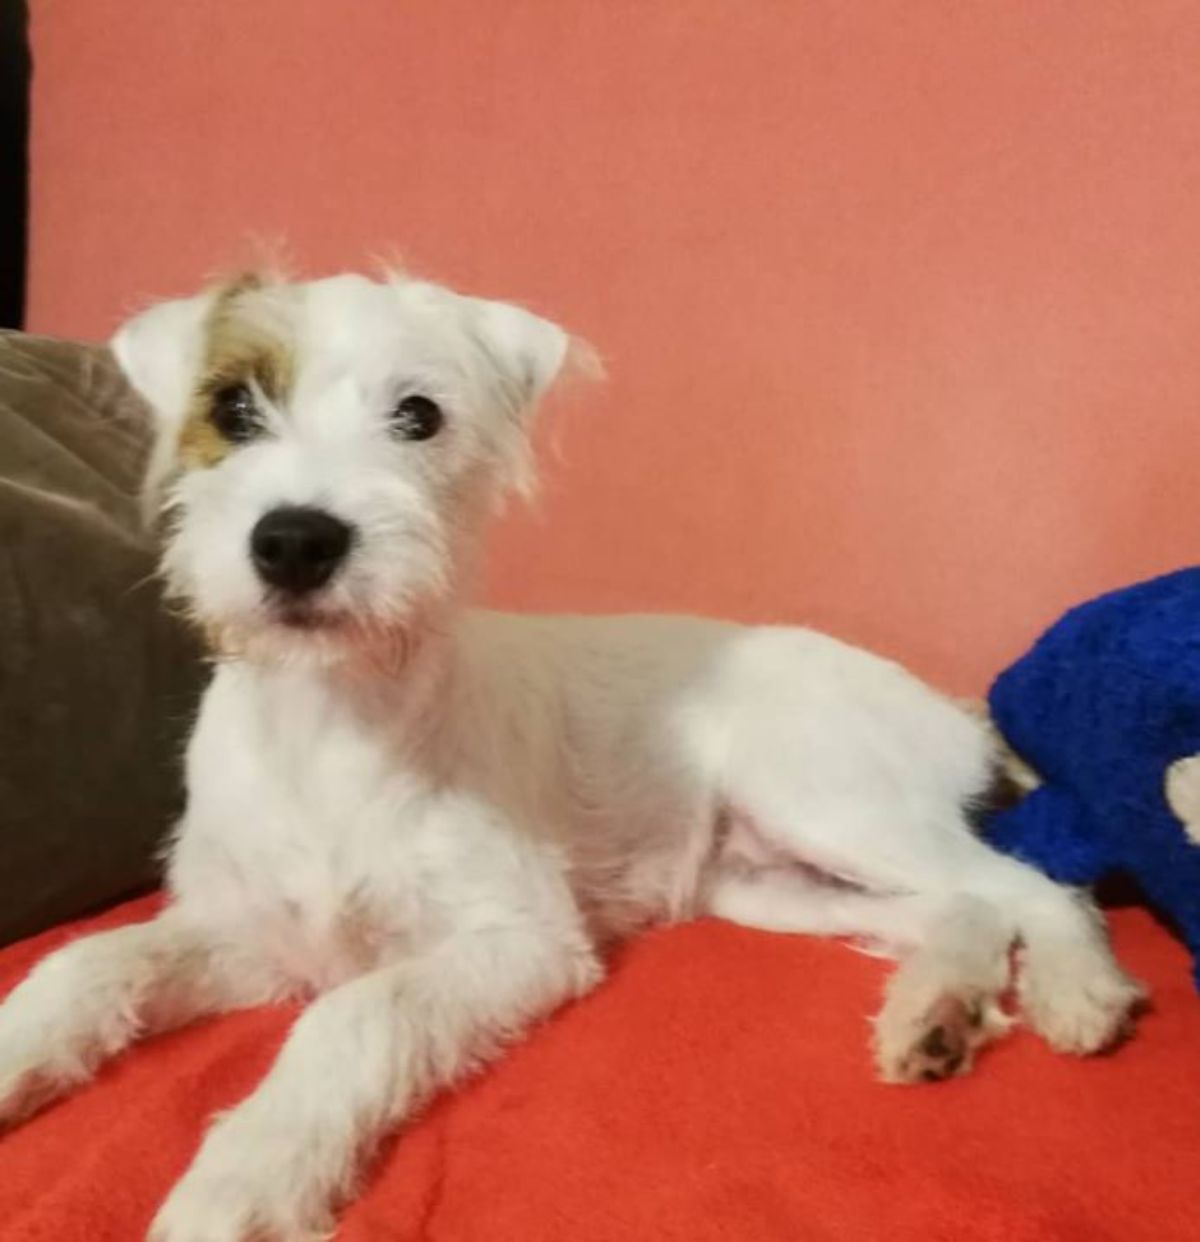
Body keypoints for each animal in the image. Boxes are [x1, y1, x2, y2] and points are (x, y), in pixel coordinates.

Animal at [0, 274, 1147, 1242]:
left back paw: (1080, 992)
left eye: (419, 416)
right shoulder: (254, 936)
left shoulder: (520, 940)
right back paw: (935, 1013)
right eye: (232, 408)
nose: (296, 541)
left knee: (1030, 884)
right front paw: (20, 1056)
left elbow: (353, 1013)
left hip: (819, 793)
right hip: (764, 884)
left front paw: (248, 1176)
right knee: (962, 905)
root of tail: (950, 708)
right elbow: (88, 963)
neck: (330, 723)